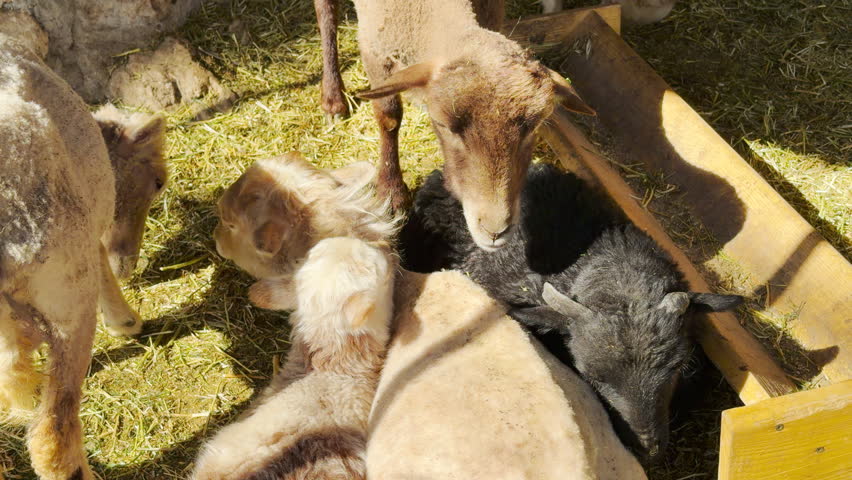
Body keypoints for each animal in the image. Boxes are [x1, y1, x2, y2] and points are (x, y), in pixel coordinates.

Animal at [0, 36, 166, 480]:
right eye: (158, 182)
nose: (130, 268)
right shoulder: (89, 232)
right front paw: (126, 323)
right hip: (67, 292)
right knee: (52, 435)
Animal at [312, 0, 594, 252]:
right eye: (443, 124)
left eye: (534, 128)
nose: (495, 232)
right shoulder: (374, 48)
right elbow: (389, 117)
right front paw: (391, 191)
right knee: (325, 10)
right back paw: (333, 99)